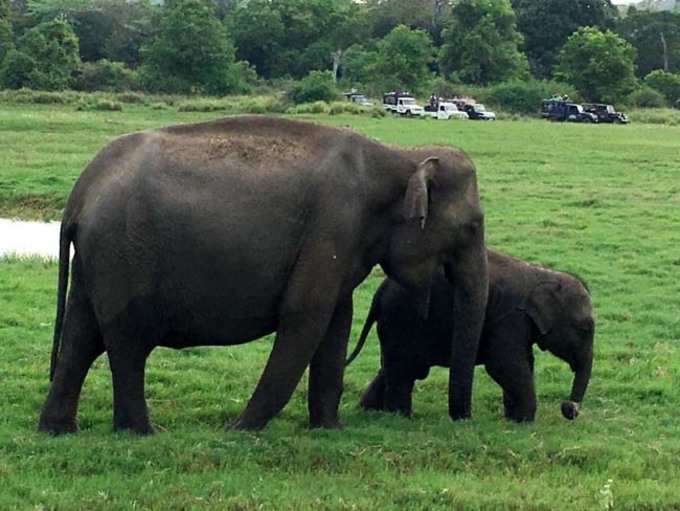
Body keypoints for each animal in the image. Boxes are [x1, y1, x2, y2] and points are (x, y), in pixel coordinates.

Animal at [37, 114, 486, 434]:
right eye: (472, 228)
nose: (460, 420)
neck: (399, 155)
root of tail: (81, 189)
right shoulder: (334, 224)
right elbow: (305, 315)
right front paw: (241, 430)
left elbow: (336, 322)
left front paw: (328, 430)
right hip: (123, 252)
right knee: (126, 341)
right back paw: (142, 432)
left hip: (98, 259)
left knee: (81, 334)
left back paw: (57, 430)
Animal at [350, 250, 596, 422]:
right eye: (585, 329)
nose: (568, 408)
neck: (543, 274)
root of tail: (379, 292)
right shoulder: (509, 319)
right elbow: (504, 364)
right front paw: (525, 421)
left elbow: (524, 361)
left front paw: (513, 420)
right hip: (403, 320)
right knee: (404, 370)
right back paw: (402, 418)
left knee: (394, 368)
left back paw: (368, 411)